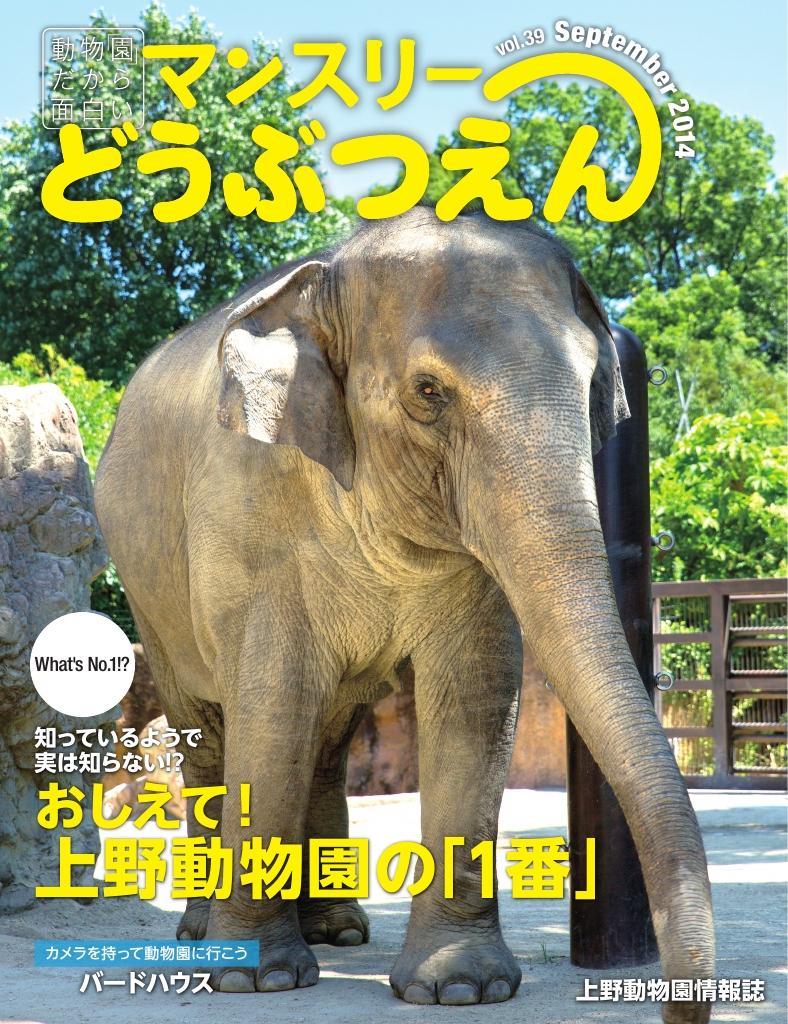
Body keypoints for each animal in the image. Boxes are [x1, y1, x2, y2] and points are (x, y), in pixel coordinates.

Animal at [94, 207, 714, 1021]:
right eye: (428, 391)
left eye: (591, 388)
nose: (677, 1000)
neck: (330, 277)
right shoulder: (243, 511)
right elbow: (272, 696)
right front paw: (257, 979)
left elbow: (476, 692)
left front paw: (461, 986)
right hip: (152, 596)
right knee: (211, 730)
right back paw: (205, 934)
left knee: (328, 740)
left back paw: (337, 930)